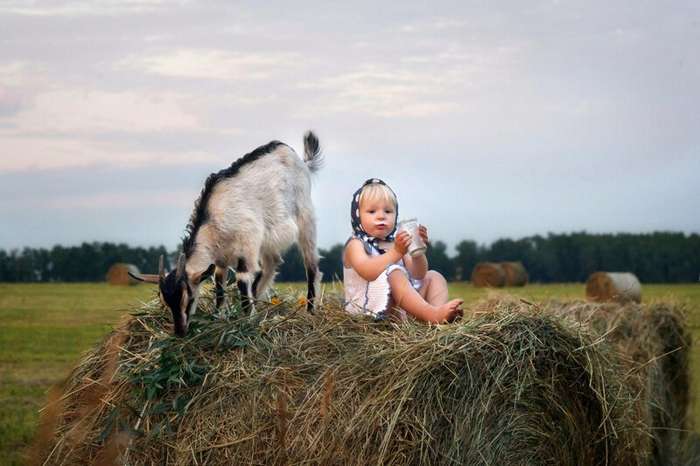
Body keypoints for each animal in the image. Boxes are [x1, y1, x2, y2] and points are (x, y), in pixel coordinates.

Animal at [131, 133, 322, 336]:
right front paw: (218, 318)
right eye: (166, 302)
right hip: (268, 239)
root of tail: (299, 159)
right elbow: (219, 288)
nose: (180, 332)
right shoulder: (220, 261)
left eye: (189, 298)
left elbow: (243, 284)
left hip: (305, 220)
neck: (213, 221)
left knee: (311, 265)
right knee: (272, 263)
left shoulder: (246, 249)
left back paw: (310, 310)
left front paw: (248, 322)